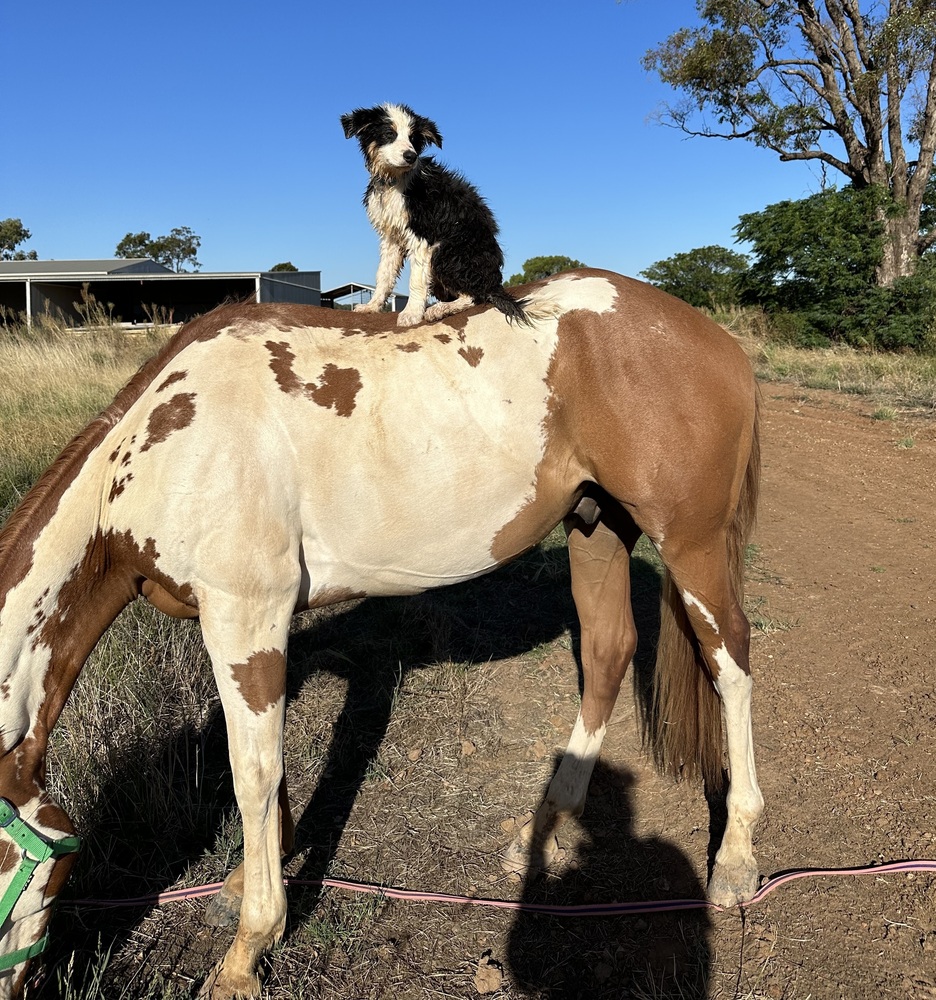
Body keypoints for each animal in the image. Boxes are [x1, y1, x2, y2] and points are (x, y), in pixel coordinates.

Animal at [0, 269, 762, 998]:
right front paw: (248, 879)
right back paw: (543, 827)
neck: (164, 448)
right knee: (608, 652)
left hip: (688, 542)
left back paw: (735, 858)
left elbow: (252, 773)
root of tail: (720, 343)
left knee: (731, 663)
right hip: (596, 525)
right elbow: (265, 762)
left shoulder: (245, 614)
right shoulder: (252, 627)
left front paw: (247, 951)